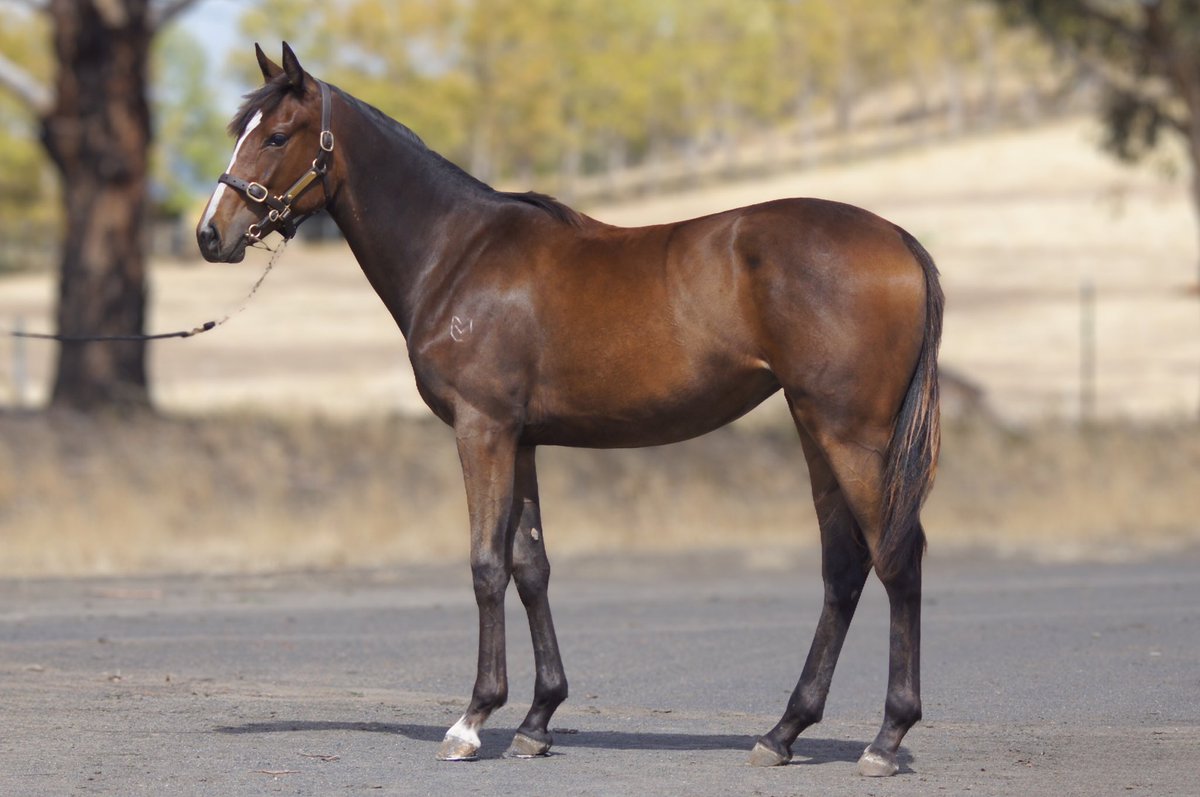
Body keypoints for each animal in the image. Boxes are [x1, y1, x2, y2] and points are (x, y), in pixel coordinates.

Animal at [197, 43, 942, 777]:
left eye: (276, 135)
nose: (210, 234)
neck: (457, 252)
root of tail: (900, 239)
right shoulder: (521, 439)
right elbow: (531, 567)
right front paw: (536, 720)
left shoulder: (482, 429)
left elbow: (486, 564)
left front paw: (472, 720)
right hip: (815, 429)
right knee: (843, 566)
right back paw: (782, 732)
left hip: (849, 434)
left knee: (896, 556)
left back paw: (885, 739)